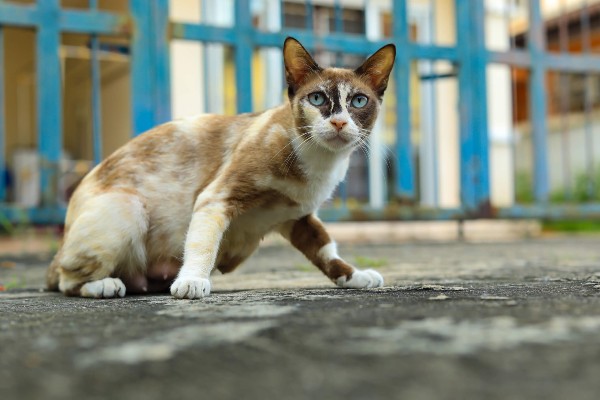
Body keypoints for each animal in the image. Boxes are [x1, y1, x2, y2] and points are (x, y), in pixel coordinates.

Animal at [45, 37, 394, 298]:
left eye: (359, 101)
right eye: (318, 99)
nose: (338, 122)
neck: (320, 164)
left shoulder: (299, 217)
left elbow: (326, 250)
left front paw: (356, 276)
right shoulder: (217, 198)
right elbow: (203, 246)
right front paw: (192, 283)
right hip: (128, 207)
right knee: (64, 280)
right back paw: (105, 285)